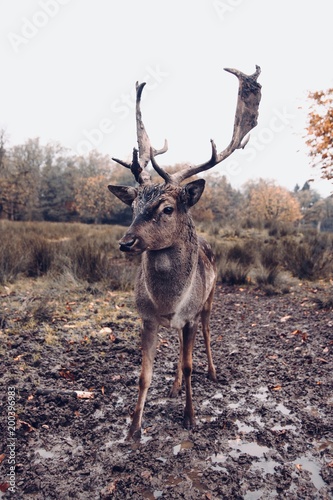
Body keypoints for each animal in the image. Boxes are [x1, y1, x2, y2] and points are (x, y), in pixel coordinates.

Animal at [107, 65, 260, 438]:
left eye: (167, 208)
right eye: (133, 205)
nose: (126, 242)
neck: (168, 301)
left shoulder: (189, 314)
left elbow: (190, 365)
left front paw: (190, 418)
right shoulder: (146, 318)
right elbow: (144, 374)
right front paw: (134, 429)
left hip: (209, 300)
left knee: (205, 334)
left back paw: (213, 372)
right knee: (178, 345)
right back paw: (174, 386)